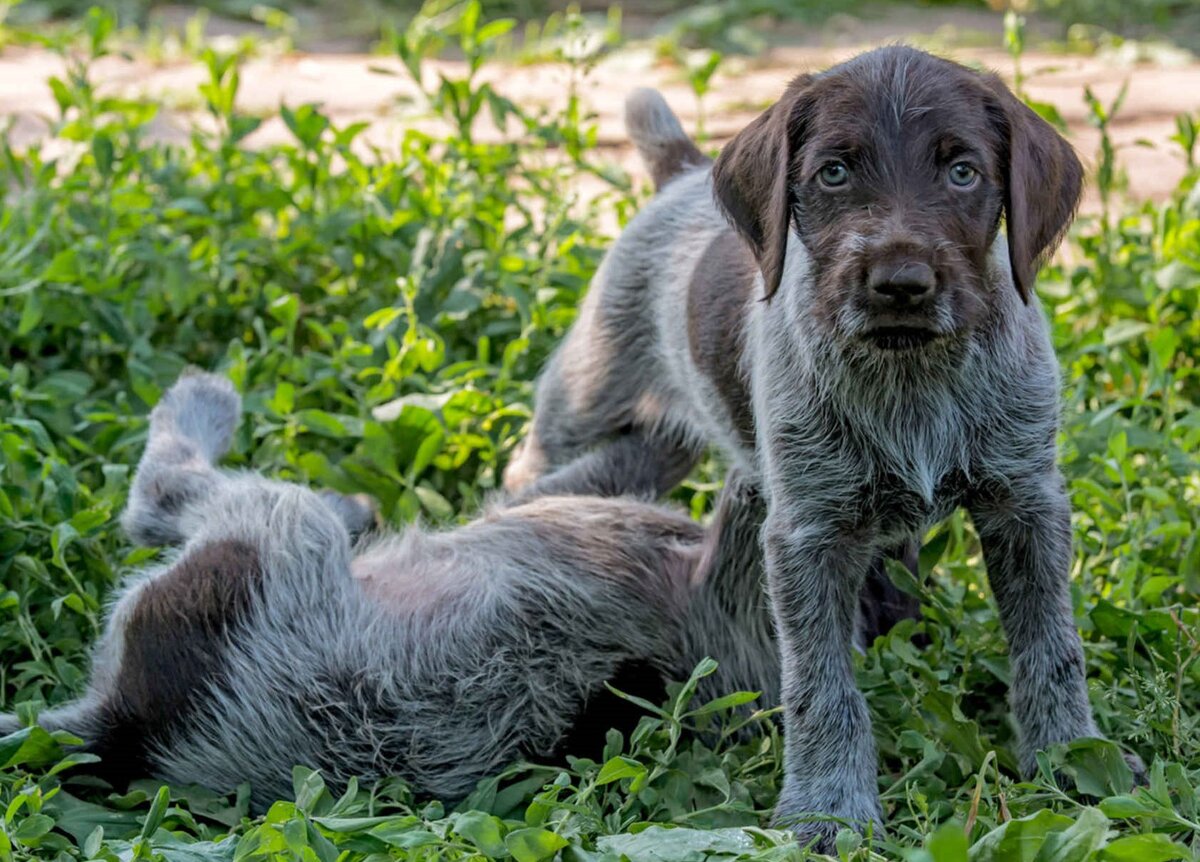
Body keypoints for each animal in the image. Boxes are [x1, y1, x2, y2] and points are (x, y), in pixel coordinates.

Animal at [504, 47, 1142, 849]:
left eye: (963, 172)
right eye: (834, 173)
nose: (900, 283)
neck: (912, 372)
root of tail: (683, 171)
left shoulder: (1026, 504)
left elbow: (1051, 647)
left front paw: (1071, 757)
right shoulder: (809, 536)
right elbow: (821, 685)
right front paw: (827, 809)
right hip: (586, 403)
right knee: (529, 469)